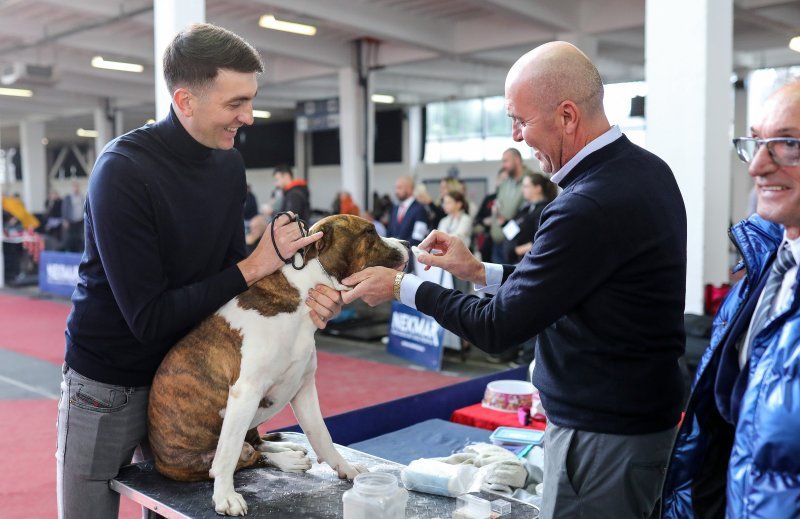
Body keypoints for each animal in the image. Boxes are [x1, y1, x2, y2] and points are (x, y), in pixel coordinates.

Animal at [147, 215, 406, 516]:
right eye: (369, 232)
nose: (406, 242)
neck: (302, 299)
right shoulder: (245, 393)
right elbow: (227, 455)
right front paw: (225, 497)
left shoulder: (304, 388)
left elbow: (322, 435)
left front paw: (346, 468)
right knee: (244, 454)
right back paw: (287, 460)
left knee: (255, 445)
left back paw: (288, 451)